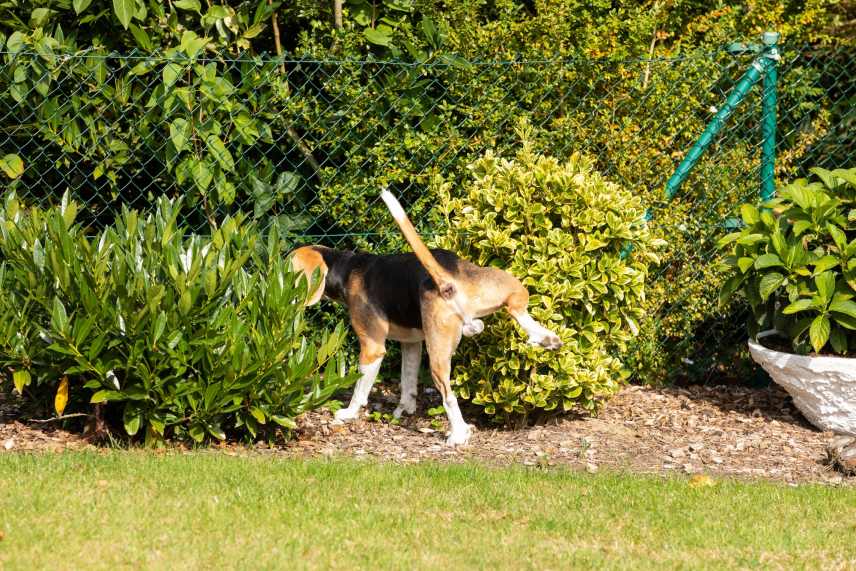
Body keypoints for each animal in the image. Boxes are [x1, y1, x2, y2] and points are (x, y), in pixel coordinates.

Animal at [290, 190, 564, 444]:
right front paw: (404, 409)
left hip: (438, 355)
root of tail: (445, 281)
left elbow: (360, 388)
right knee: (518, 307)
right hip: (504, 285)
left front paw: (348, 413)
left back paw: (458, 434)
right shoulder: (411, 344)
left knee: (449, 396)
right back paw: (545, 338)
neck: (345, 268)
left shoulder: (372, 347)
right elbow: (408, 382)